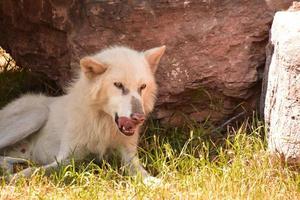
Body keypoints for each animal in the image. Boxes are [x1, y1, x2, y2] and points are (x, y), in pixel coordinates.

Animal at [0, 45, 165, 183]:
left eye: (142, 86)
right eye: (118, 85)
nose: (139, 118)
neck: (101, 124)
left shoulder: (128, 156)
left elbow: (142, 172)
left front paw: (155, 183)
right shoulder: (65, 158)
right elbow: (35, 170)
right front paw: (14, 178)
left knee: (8, 158)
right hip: (36, 115)